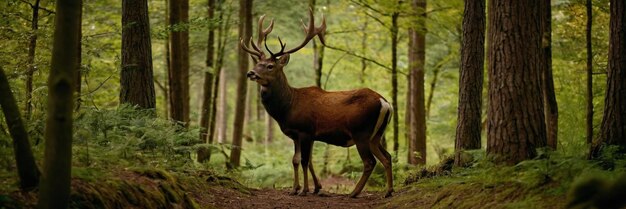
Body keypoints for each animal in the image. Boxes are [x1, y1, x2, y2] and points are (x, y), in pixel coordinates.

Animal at [239, 9, 390, 198]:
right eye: (258, 63)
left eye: (270, 66)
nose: (250, 73)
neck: (288, 107)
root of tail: (385, 102)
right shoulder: (299, 134)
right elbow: (297, 160)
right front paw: (302, 188)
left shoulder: (305, 130)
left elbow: (304, 161)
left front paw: (304, 190)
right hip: (376, 135)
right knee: (387, 157)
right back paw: (388, 191)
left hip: (361, 131)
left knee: (370, 161)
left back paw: (354, 192)